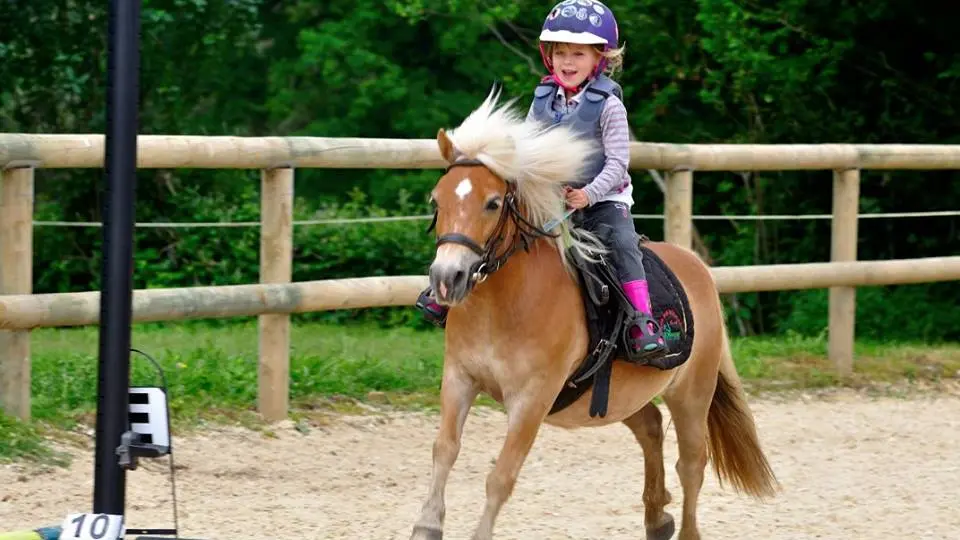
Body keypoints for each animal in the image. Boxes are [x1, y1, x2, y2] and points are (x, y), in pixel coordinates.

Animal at [408, 88, 776, 540]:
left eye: (493, 203)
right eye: (436, 200)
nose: (448, 278)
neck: (504, 305)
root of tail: (698, 269)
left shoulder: (532, 398)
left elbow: (501, 476)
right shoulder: (459, 377)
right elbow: (444, 449)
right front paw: (426, 525)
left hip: (692, 393)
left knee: (692, 465)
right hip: (623, 396)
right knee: (651, 427)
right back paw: (657, 518)